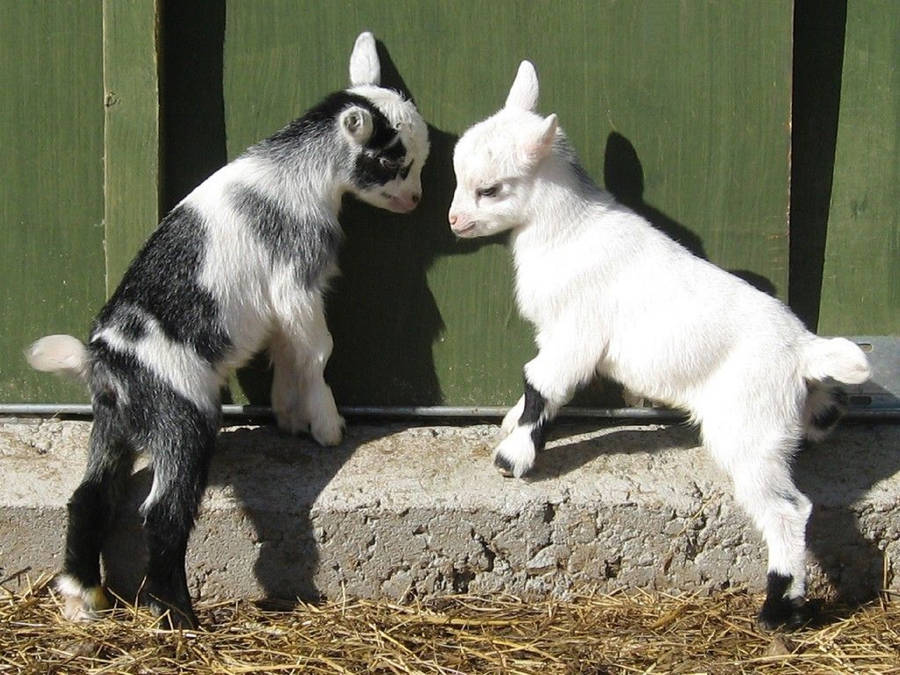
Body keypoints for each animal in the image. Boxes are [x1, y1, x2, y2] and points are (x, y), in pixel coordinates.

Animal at [29, 31, 430, 632]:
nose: (416, 200)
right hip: (182, 420)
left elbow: (288, 351)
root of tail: (105, 358)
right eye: (392, 159)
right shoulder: (297, 278)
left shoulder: (283, 305)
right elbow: (317, 350)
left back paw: (82, 597)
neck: (301, 172)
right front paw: (327, 426)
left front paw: (289, 415)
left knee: (88, 495)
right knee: (161, 516)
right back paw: (178, 616)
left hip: (112, 424)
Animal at [450, 60, 872, 632]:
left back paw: (779, 608)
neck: (568, 233)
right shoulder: (555, 333)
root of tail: (800, 348)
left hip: (747, 429)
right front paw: (513, 422)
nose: (453, 221)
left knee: (788, 510)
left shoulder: (576, 332)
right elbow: (540, 390)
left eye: (490, 189)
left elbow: (542, 382)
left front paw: (513, 457)